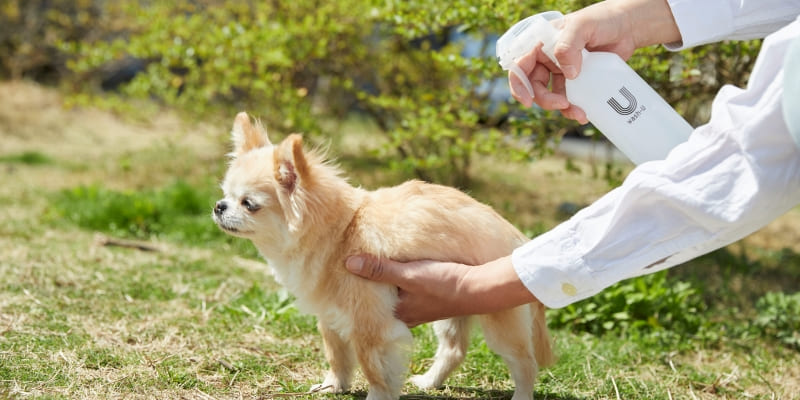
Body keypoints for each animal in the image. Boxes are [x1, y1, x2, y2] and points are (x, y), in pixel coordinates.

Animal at [212, 112, 552, 400]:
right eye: (226, 194)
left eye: (249, 204)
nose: (218, 206)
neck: (342, 231)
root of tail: (518, 238)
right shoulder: (330, 315)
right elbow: (337, 353)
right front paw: (334, 385)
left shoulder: (370, 325)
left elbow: (374, 368)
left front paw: (377, 395)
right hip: (458, 306)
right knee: (454, 350)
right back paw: (430, 381)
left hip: (499, 319)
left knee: (525, 363)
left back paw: (521, 394)